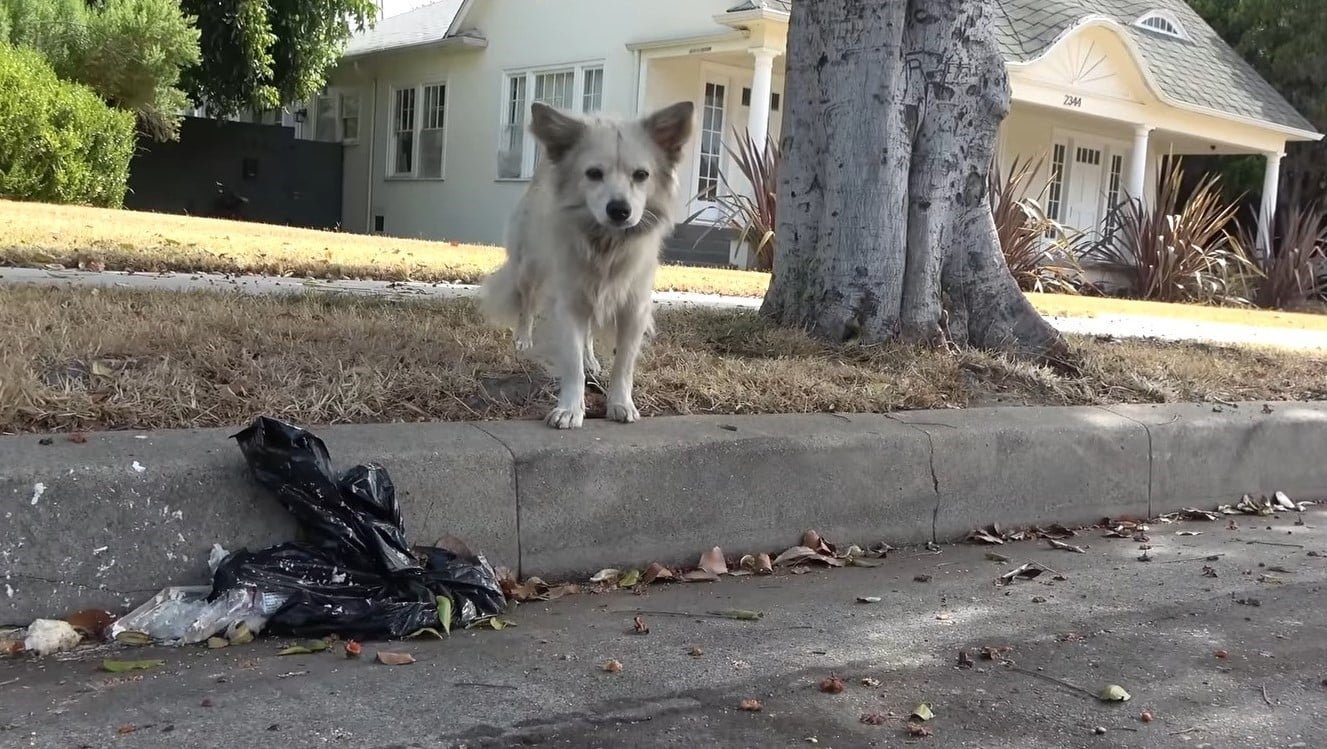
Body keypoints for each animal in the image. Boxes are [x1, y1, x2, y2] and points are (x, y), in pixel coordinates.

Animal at [483, 98, 700, 432]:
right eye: (594, 173)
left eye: (641, 175)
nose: (619, 210)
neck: (606, 245)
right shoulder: (569, 302)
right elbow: (572, 364)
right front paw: (570, 408)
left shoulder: (633, 308)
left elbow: (623, 365)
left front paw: (620, 403)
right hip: (531, 268)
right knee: (527, 305)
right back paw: (523, 339)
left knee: (587, 333)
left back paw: (591, 360)